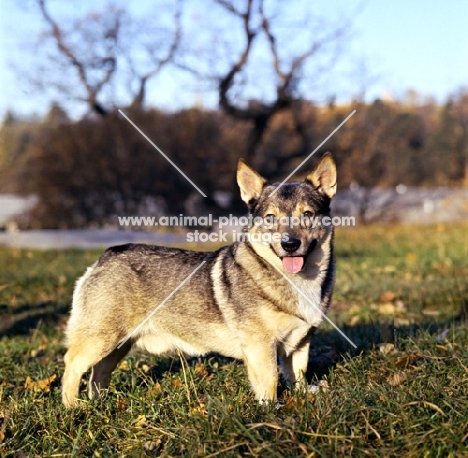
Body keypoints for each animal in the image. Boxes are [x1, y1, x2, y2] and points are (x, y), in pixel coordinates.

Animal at [62, 152, 336, 406]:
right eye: (270, 218)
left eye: (307, 214)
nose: (290, 245)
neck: (297, 279)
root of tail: (105, 257)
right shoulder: (261, 345)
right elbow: (269, 382)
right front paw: (271, 410)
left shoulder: (300, 343)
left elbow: (297, 374)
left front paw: (302, 395)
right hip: (102, 338)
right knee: (72, 364)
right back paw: (73, 407)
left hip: (119, 344)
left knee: (98, 372)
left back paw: (99, 404)